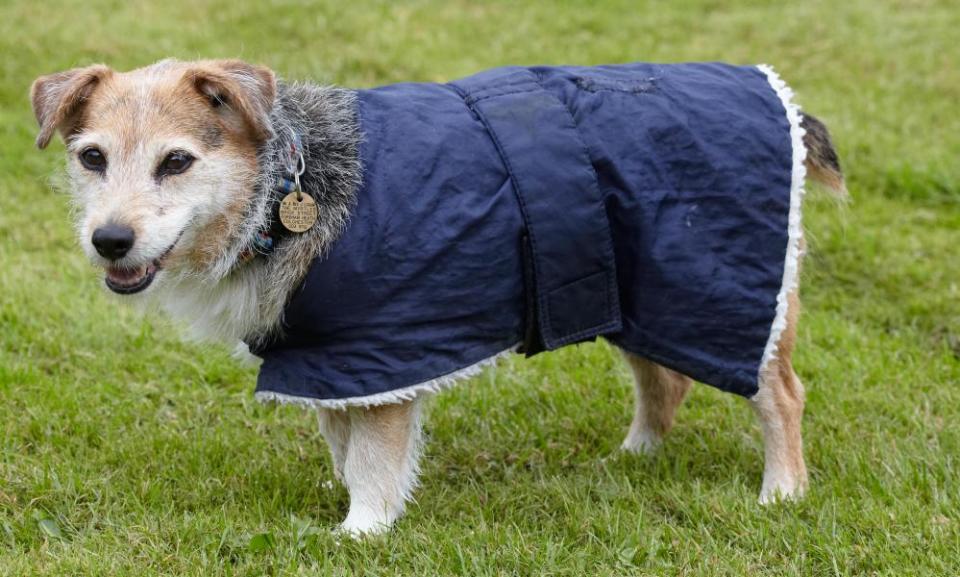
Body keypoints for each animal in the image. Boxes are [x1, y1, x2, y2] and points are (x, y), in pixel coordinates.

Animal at [28, 58, 840, 536]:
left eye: (176, 161)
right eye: (92, 157)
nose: (110, 240)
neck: (286, 181)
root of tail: (781, 100)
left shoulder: (380, 352)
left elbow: (372, 461)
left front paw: (361, 531)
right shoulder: (330, 361)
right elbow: (344, 447)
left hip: (727, 299)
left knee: (783, 395)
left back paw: (783, 492)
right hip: (641, 296)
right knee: (664, 382)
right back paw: (634, 458)